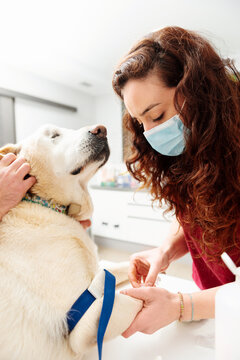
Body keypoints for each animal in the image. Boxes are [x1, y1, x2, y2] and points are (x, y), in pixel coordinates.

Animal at [0, 124, 142, 360]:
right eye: (54, 136)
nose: (101, 130)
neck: (49, 205)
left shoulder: (96, 277)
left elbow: (110, 271)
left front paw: (141, 266)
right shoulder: (83, 324)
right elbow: (134, 302)